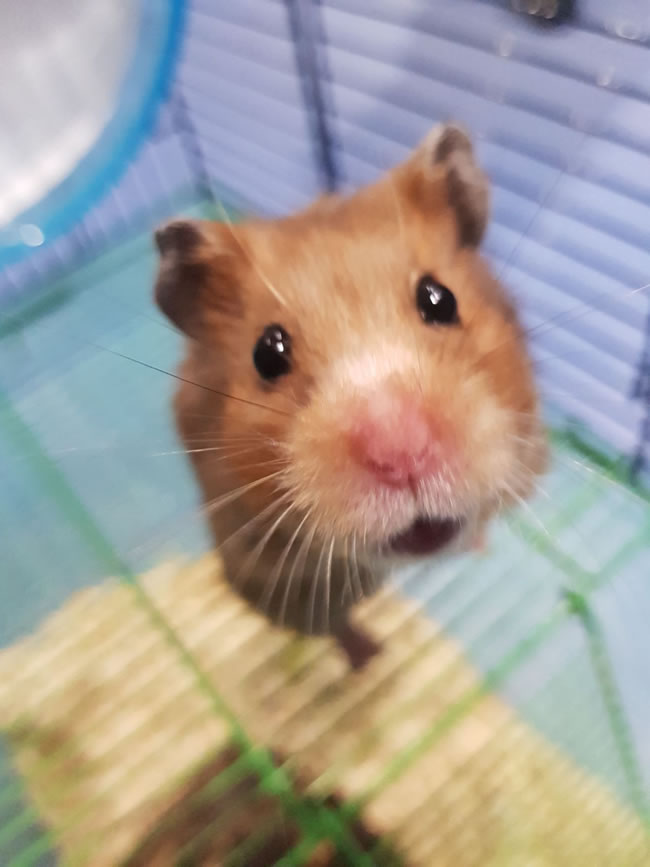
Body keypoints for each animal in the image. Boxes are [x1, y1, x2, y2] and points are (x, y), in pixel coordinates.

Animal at [153, 124, 547, 669]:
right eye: (267, 354)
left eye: (439, 299)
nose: (399, 451)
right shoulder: (259, 564)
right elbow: (327, 620)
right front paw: (370, 655)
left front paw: (480, 543)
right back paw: (371, 657)